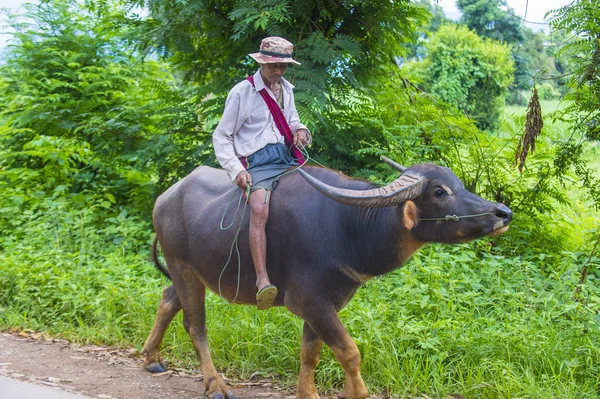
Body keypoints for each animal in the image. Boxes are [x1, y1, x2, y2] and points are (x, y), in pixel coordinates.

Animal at [141, 159, 510, 399]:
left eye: (459, 183)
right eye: (439, 192)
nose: (503, 213)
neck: (347, 225)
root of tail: (164, 198)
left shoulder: (321, 303)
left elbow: (311, 352)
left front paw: (308, 393)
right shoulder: (309, 300)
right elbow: (349, 351)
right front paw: (355, 393)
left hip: (190, 271)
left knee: (168, 298)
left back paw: (152, 357)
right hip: (183, 268)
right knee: (196, 326)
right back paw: (215, 385)